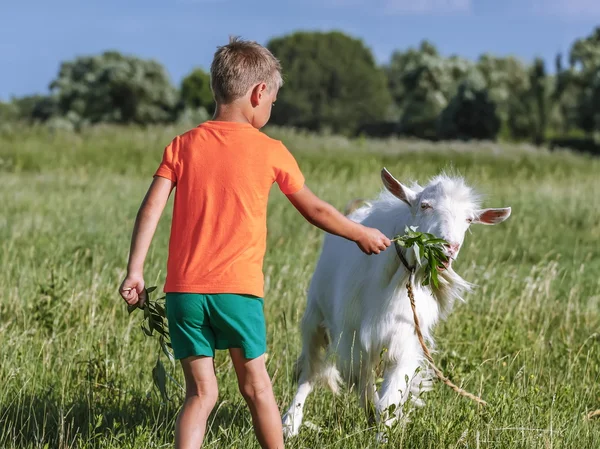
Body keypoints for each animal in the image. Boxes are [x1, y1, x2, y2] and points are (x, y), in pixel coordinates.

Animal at [282, 166, 510, 436]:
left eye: (469, 219)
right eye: (425, 205)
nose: (449, 248)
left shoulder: (405, 340)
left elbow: (387, 403)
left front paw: (382, 431)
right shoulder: (353, 341)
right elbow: (363, 386)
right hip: (315, 317)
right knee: (309, 370)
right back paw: (290, 423)